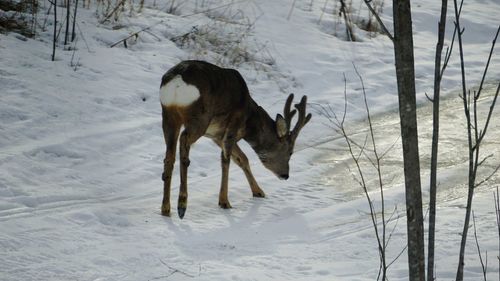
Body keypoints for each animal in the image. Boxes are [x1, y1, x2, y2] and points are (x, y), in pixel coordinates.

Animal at [158, 60, 310, 219]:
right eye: (290, 151)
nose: (285, 175)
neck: (249, 121)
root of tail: (176, 81)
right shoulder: (233, 123)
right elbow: (226, 159)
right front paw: (224, 201)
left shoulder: (216, 135)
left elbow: (242, 159)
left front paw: (258, 191)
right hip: (200, 117)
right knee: (184, 140)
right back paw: (182, 205)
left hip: (168, 116)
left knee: (169, 156)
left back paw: (166, 208)